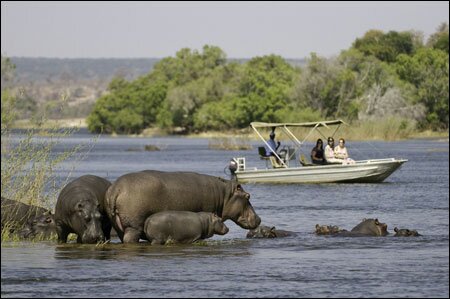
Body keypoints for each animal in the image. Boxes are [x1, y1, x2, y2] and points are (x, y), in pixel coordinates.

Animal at [105, 171, 260, 244]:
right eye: (248, 196)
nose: (259, 219)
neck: (224, 194)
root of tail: (116, 188)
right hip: (133, 227)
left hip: (119, 226)